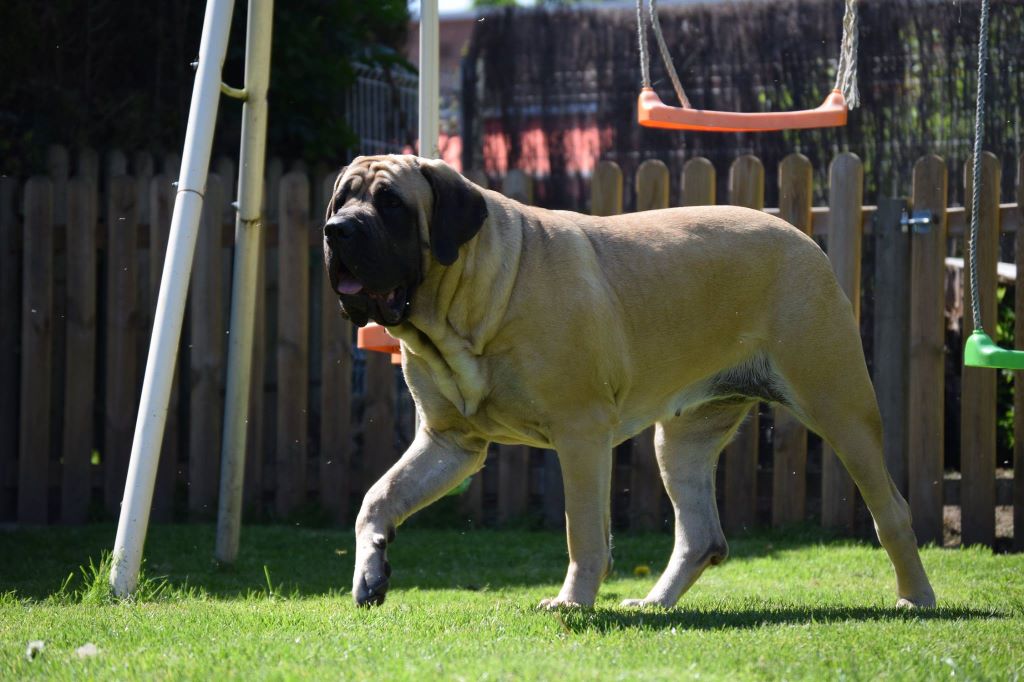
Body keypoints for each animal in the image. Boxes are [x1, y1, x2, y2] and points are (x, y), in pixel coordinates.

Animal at [321, 155, 937, 610]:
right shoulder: (449, 443)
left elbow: (584, 532)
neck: (461, 310)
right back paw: (655, 604)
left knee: (892, 511)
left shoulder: (581, 433)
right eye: (341, 199)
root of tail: (805, 240)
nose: (336, 231)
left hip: (840, 407)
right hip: (682, 439)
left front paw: (572, 602)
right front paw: (370, 569)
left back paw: (916, 597)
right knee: (701, 536)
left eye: (391, 204)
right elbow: (377, 497)